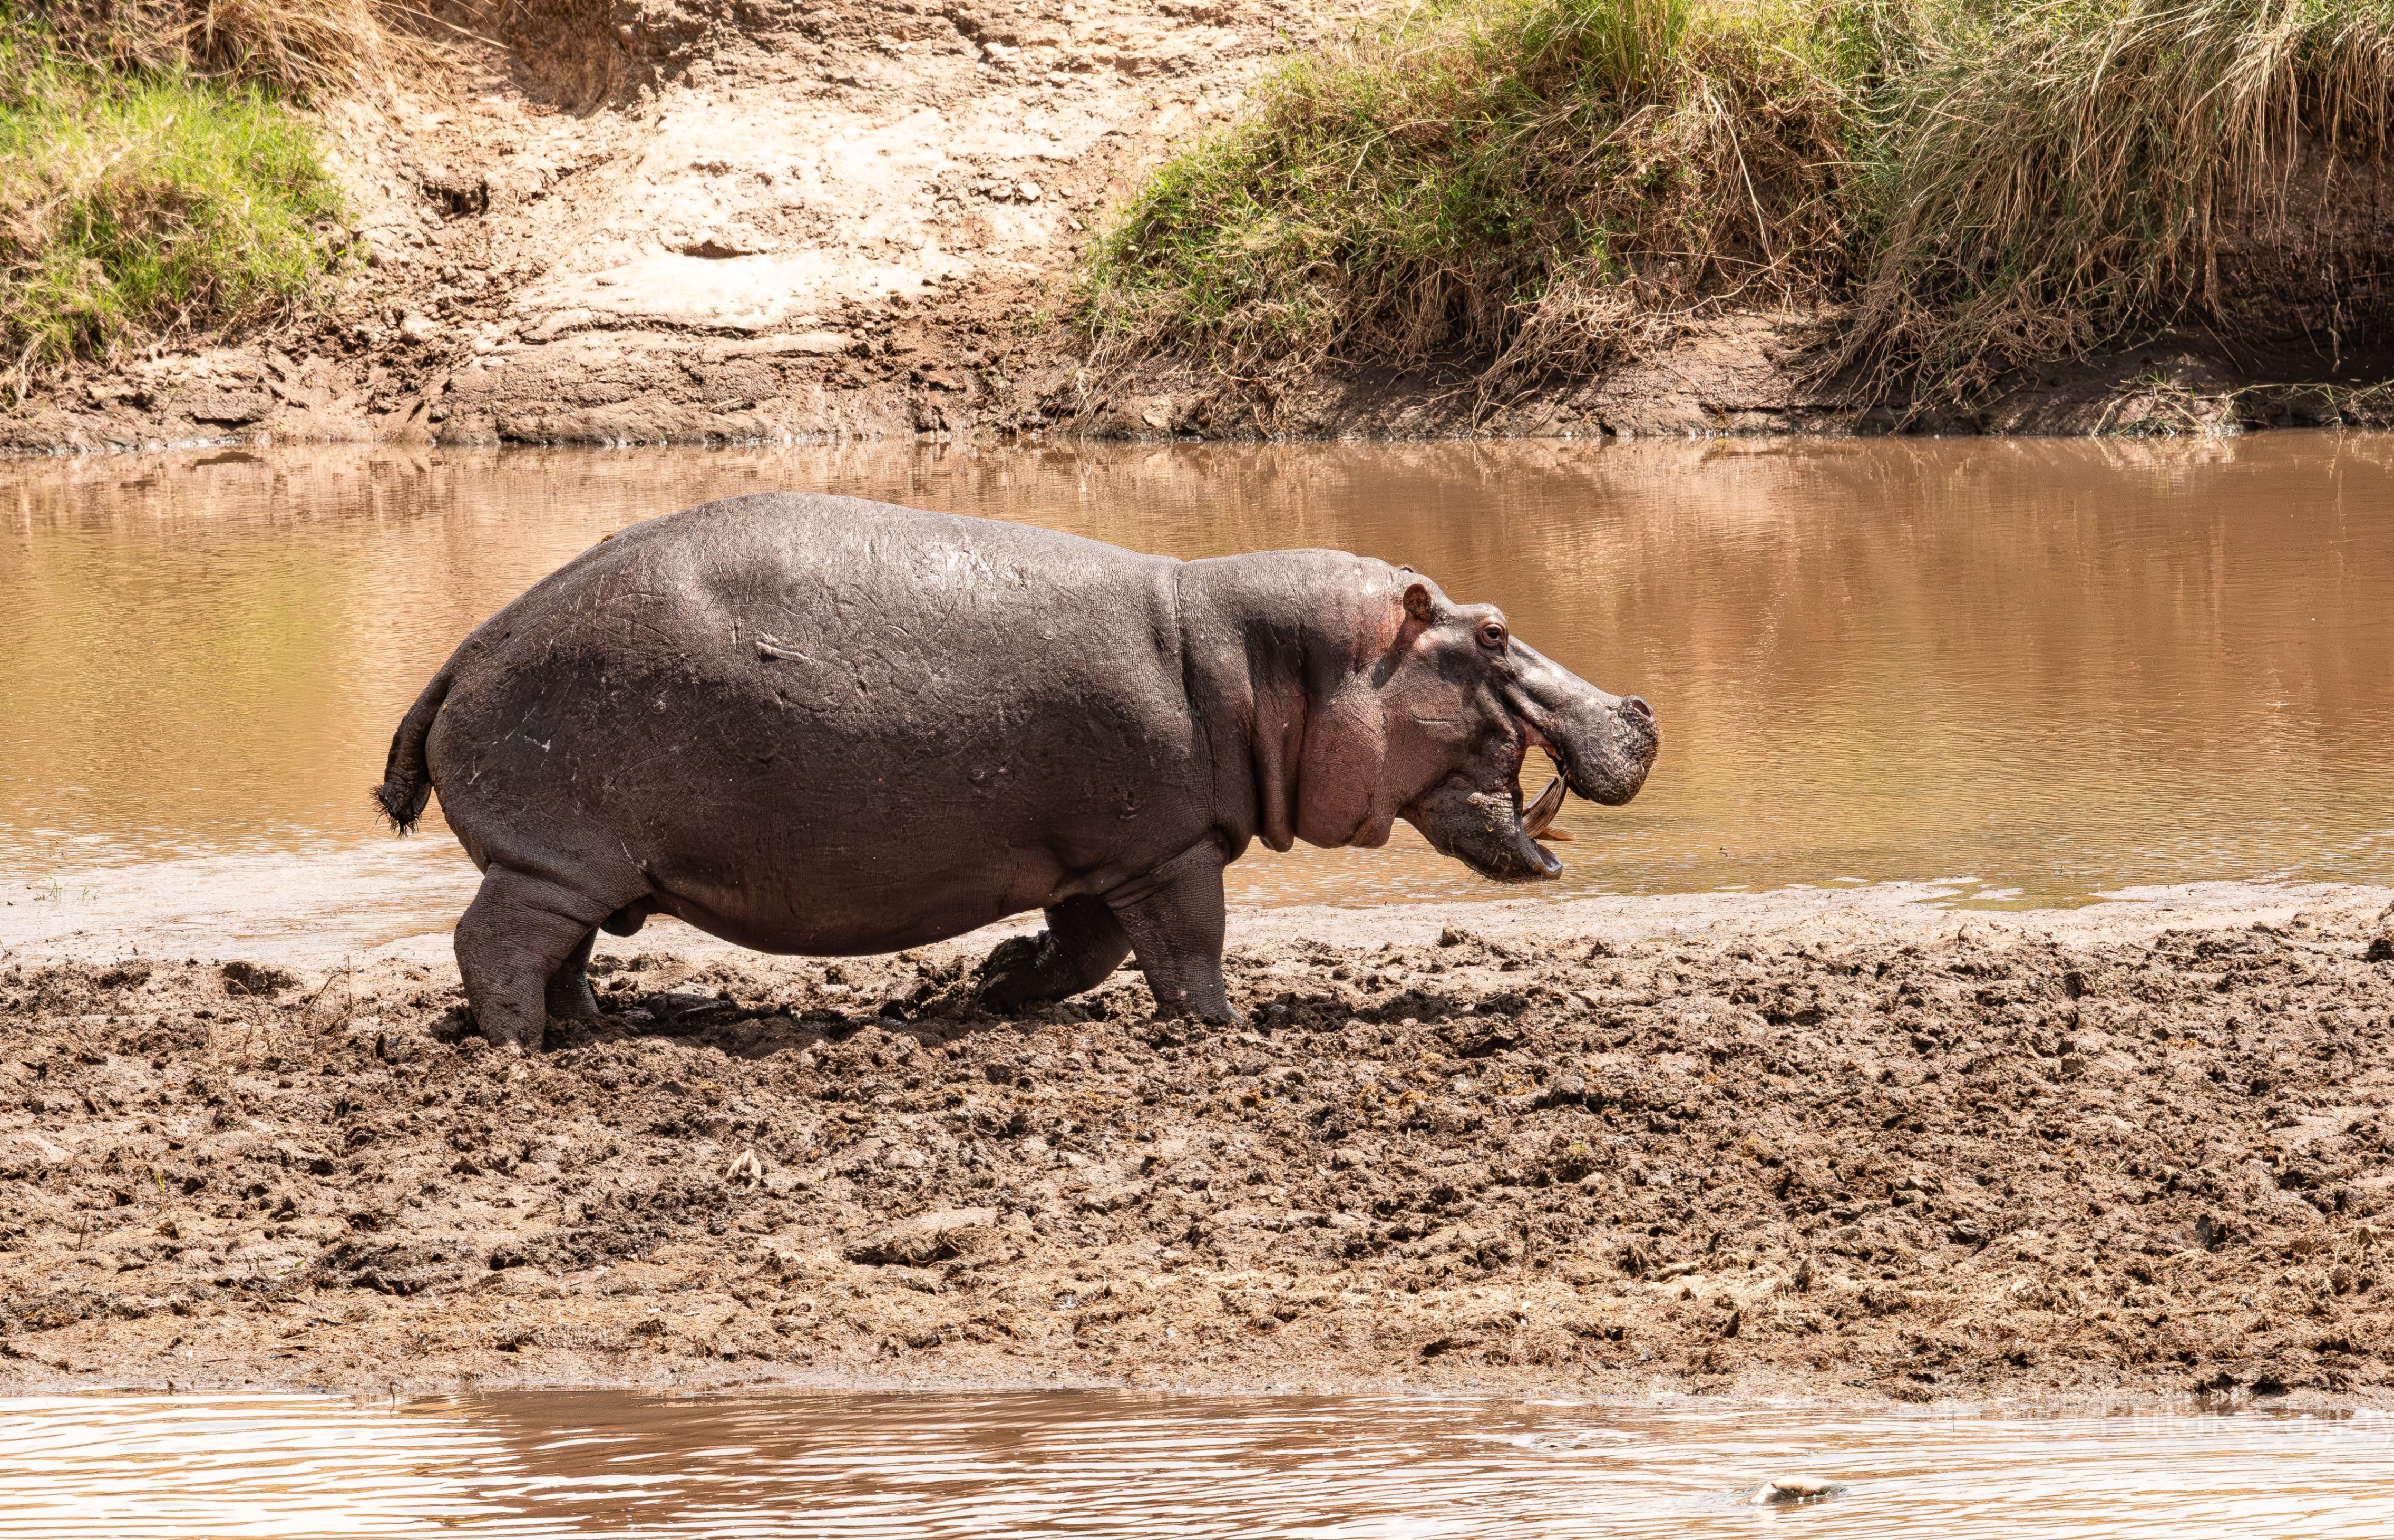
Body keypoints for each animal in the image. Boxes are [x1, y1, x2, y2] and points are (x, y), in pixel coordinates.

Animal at [373, 493, 1658, 1046]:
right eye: (1493, 631)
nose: (1642, 705)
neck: (1268, 660)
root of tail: (467, 645)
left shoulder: (1099, 855)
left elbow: (1082, 952)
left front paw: (992, 981)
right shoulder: (1168, 849)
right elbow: (1189, 949)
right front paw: (1225, 1030)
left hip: (583, 863)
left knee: (561, 953)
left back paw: (589, 1027)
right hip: (556, 855)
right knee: (495, 944)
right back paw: (523, 1049)